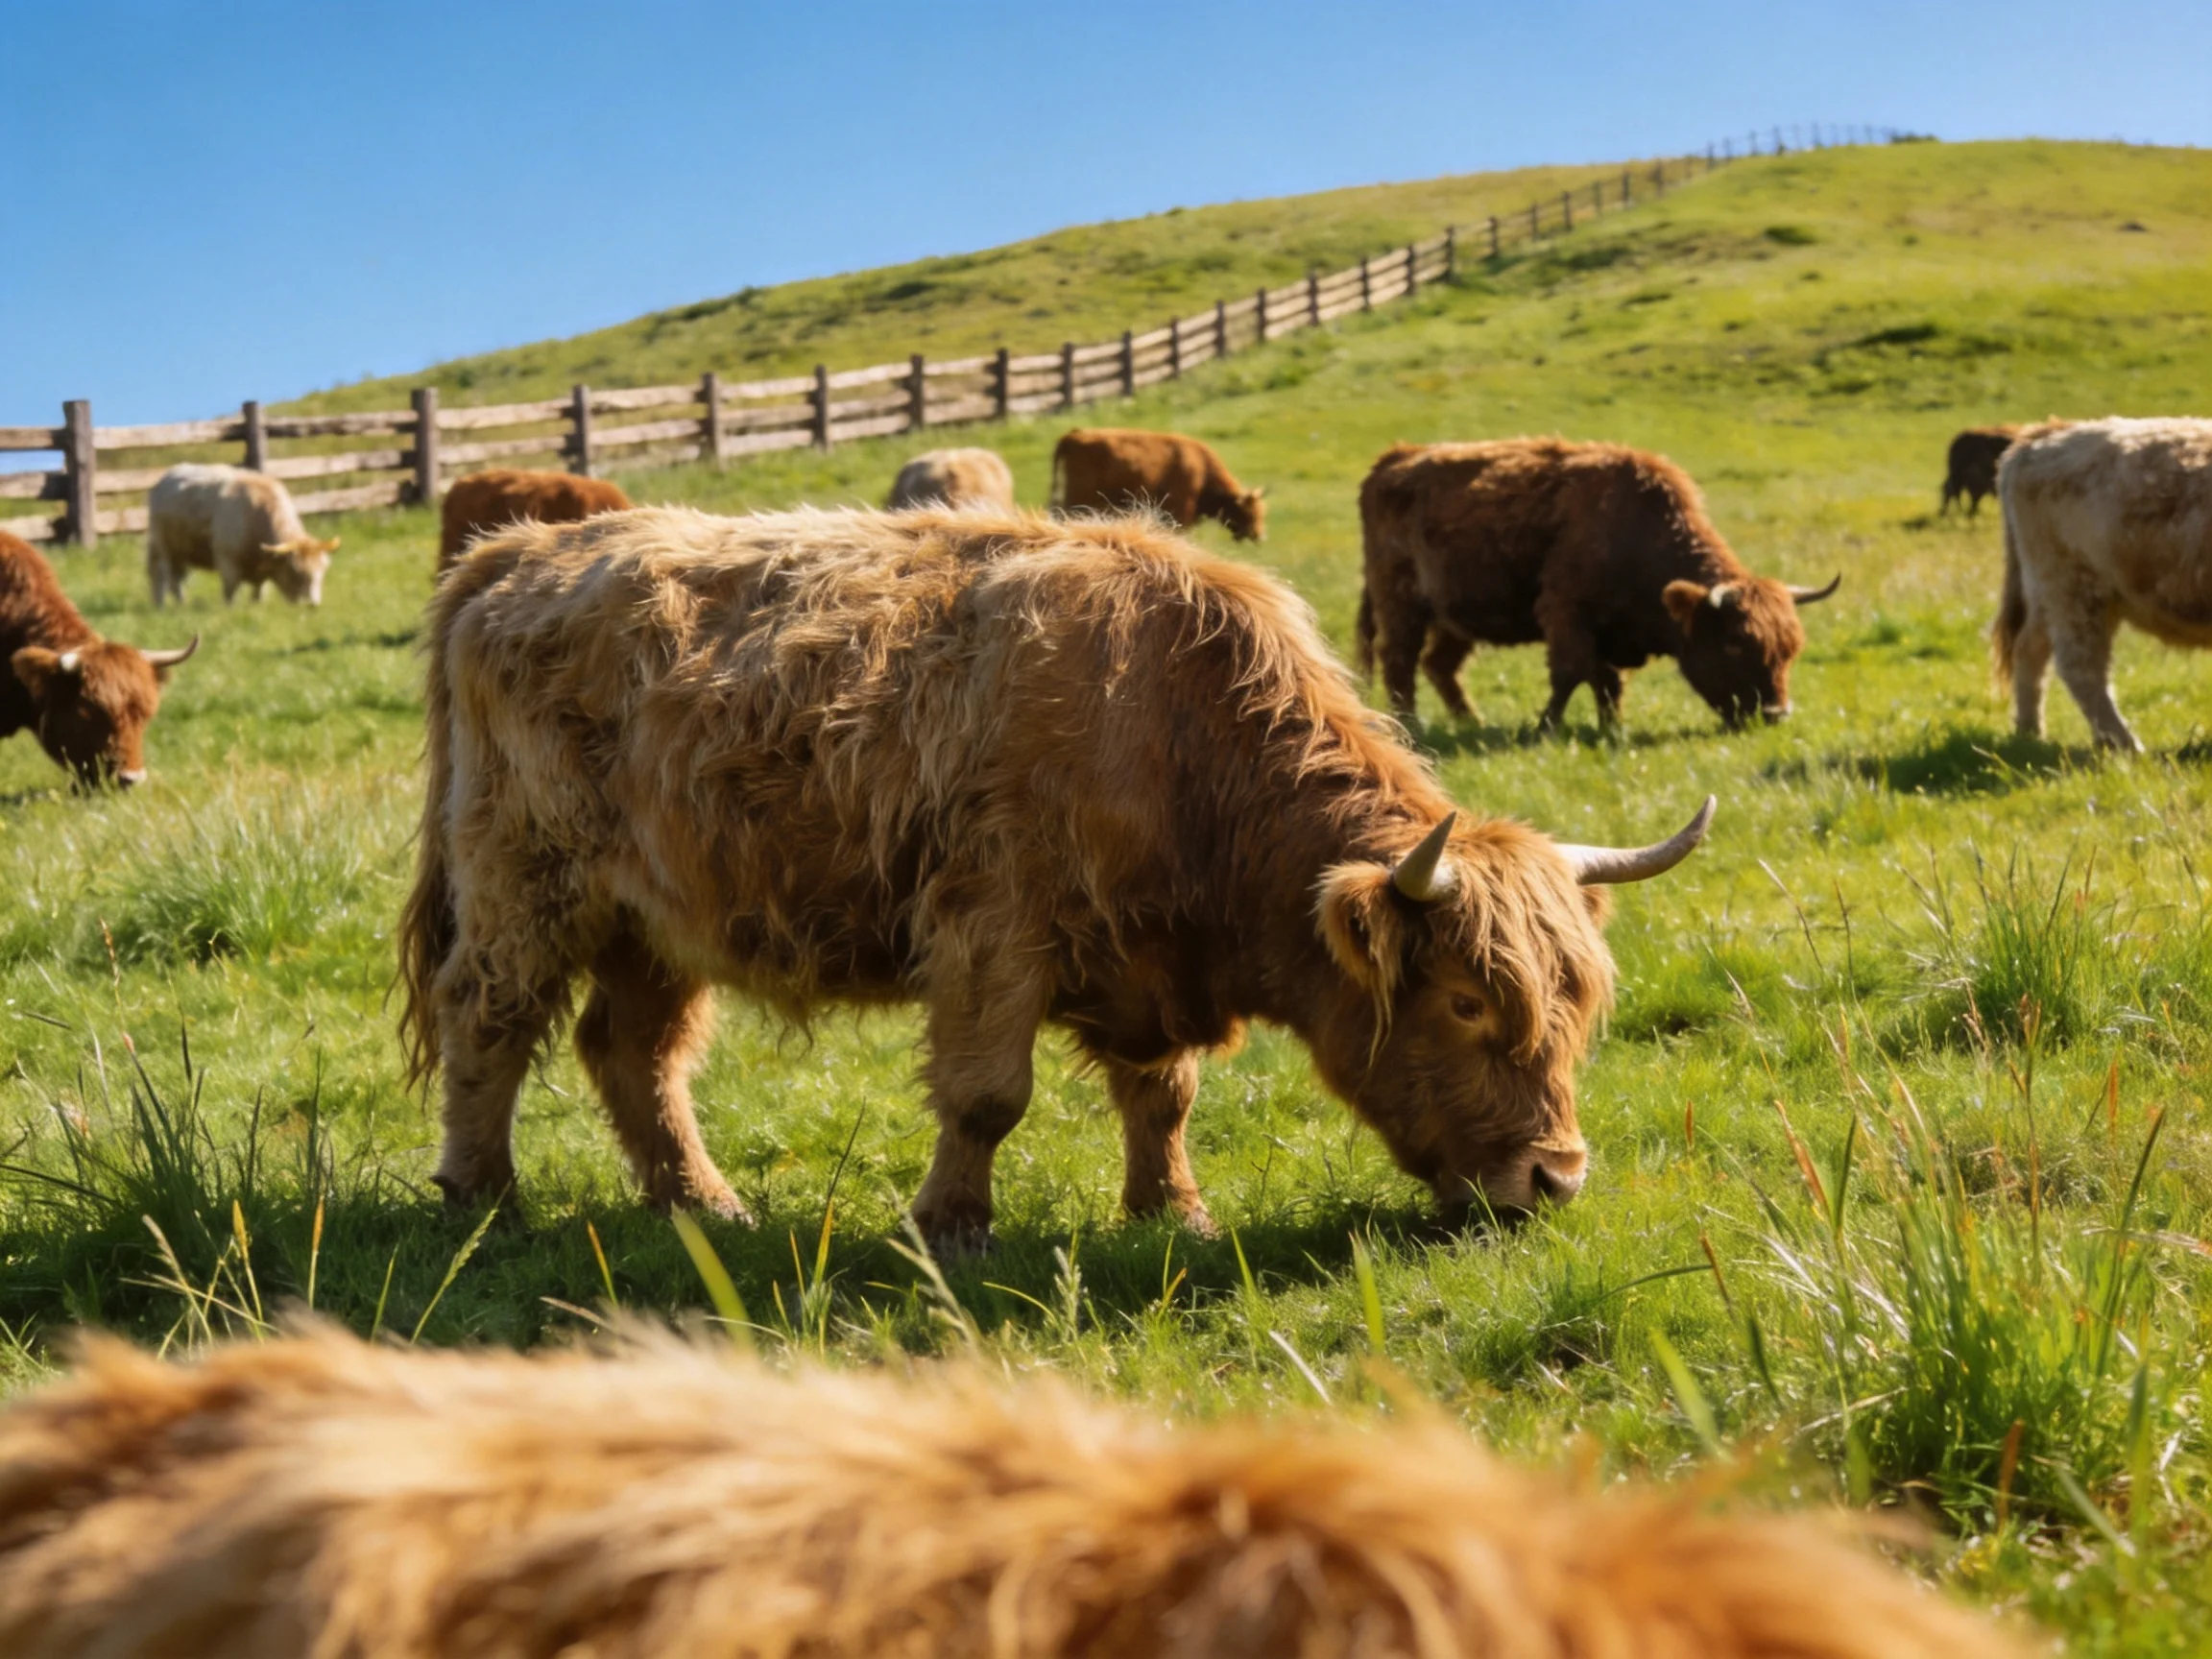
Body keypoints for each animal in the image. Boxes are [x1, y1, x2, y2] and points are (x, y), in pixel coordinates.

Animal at [145, 464, 337, 607]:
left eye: (322, 569)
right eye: (296, 571)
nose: (312, 605)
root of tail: (166, 478)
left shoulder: (261, 570)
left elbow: (258, 591)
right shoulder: (227, 561)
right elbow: (230, 591)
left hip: (180, 551)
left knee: (171, 578)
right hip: (164, 549)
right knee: (164, 577)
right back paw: (168, 604)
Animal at [400, 507, 1714, 1249]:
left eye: (1577, 1008)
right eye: (1467, 1002)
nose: (1555, 1179)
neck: (1178, 729)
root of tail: (512, 554)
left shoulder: (1144, 963)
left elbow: (1163, 1096)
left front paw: (1173, 1213)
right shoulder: (994, 930)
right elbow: (989, 1095)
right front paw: (952, 1225)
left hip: (663, 912)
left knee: (632, 1050)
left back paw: (702, 1203)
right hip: (524, 879)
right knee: (489, 1020)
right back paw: (483, 1193)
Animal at [1356, 439, 1840, 731]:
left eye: (1790, 650)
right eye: (1736, 645)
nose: (1775, 714)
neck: (1634, 528)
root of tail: (1392, 460)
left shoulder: (1608, 631)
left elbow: (1608, 682)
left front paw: (1613, 728)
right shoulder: (1565, 614)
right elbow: (1571, 672)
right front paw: (1545, 728)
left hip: (1454, 619)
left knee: (1439, 665)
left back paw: (1471, 722)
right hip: (1402, 605)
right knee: (1399, 660)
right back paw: (1411, 726)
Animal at [1993, 416, 2212, 751]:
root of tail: (2048, 433)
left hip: (2049, 592)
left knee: (2030, 650)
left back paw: (2030, 732)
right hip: (2074, 587)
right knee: (2081, 667)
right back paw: (2125, 744)